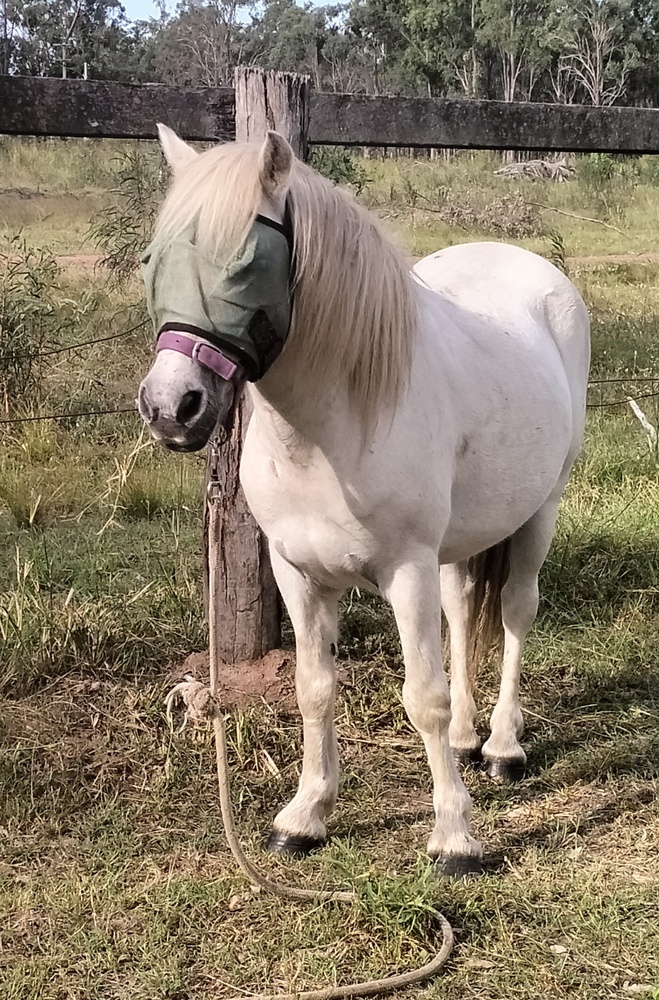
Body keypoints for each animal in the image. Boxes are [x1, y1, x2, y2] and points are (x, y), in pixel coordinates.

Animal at [137, 125, 590, 876]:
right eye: (154, 259)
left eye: (244, 263)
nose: (172, 408)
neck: (329, 430)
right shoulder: (298, 574)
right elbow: (314, 689)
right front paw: (304, 817)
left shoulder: (404, 570)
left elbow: (422, 698)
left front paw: (454, 837)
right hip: (459, 539)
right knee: (462, 608)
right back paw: (467, 737)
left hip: (538, 513)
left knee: (516, 611)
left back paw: (501, 747)